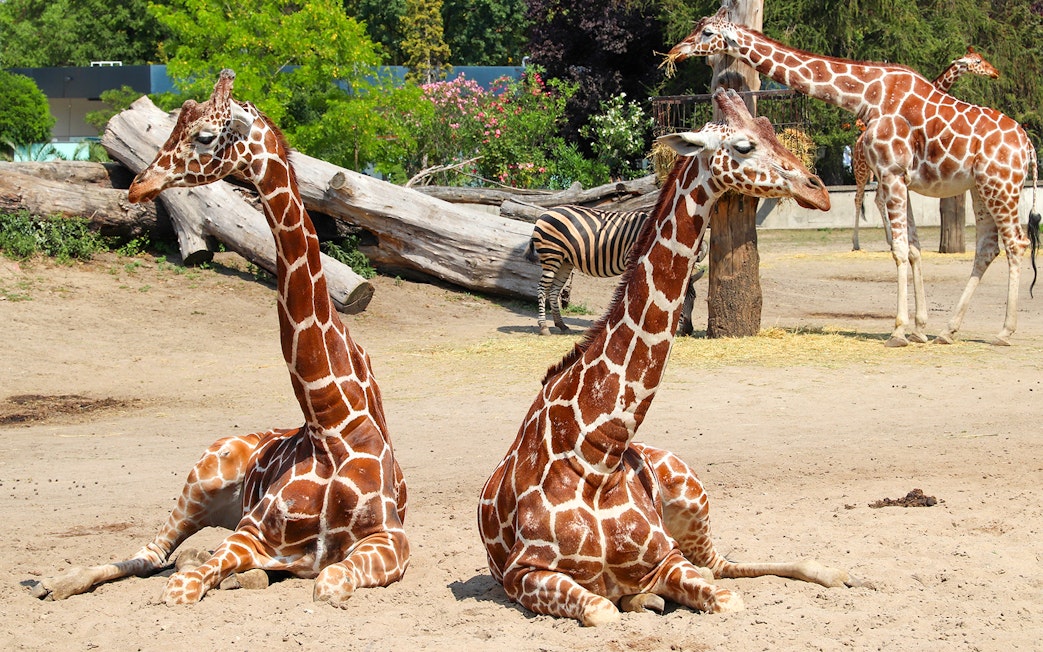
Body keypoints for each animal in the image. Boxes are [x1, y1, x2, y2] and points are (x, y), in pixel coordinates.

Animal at [28, 70, 409, 606]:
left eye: (204, 136)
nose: (139, 184)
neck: (329, 424)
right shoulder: (253, 532)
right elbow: (183, 586)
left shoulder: (390, 538)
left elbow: (327, 582)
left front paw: (245, 576)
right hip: (202, 478)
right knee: (152, 554)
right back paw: (55, 581)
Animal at [526, 204, 706, 336]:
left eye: (694, 299)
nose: (689, 330)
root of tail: (547, 212)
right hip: (552, 254)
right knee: (542, 288)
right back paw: (544, 327)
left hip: (565, 260)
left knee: (554, 290)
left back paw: (561, 324)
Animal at [852, 47, 1001, 250]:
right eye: (977, 61)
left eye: (982, 58)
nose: (995, 72)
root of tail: (857, 142)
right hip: (861, 170)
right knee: (859, 198)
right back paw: (856, 243)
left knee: (878, 199)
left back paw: (890, 240)